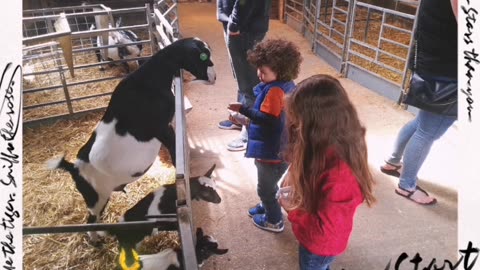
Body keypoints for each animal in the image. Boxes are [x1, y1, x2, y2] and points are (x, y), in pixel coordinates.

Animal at [47, 37, 216, 243]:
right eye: (203, 56)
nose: (213, 77)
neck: (149, 80)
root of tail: (74, 168)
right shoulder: (163, 128)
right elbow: (175, 154)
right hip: (96, 197)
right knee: (90, 220)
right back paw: (96, 241)